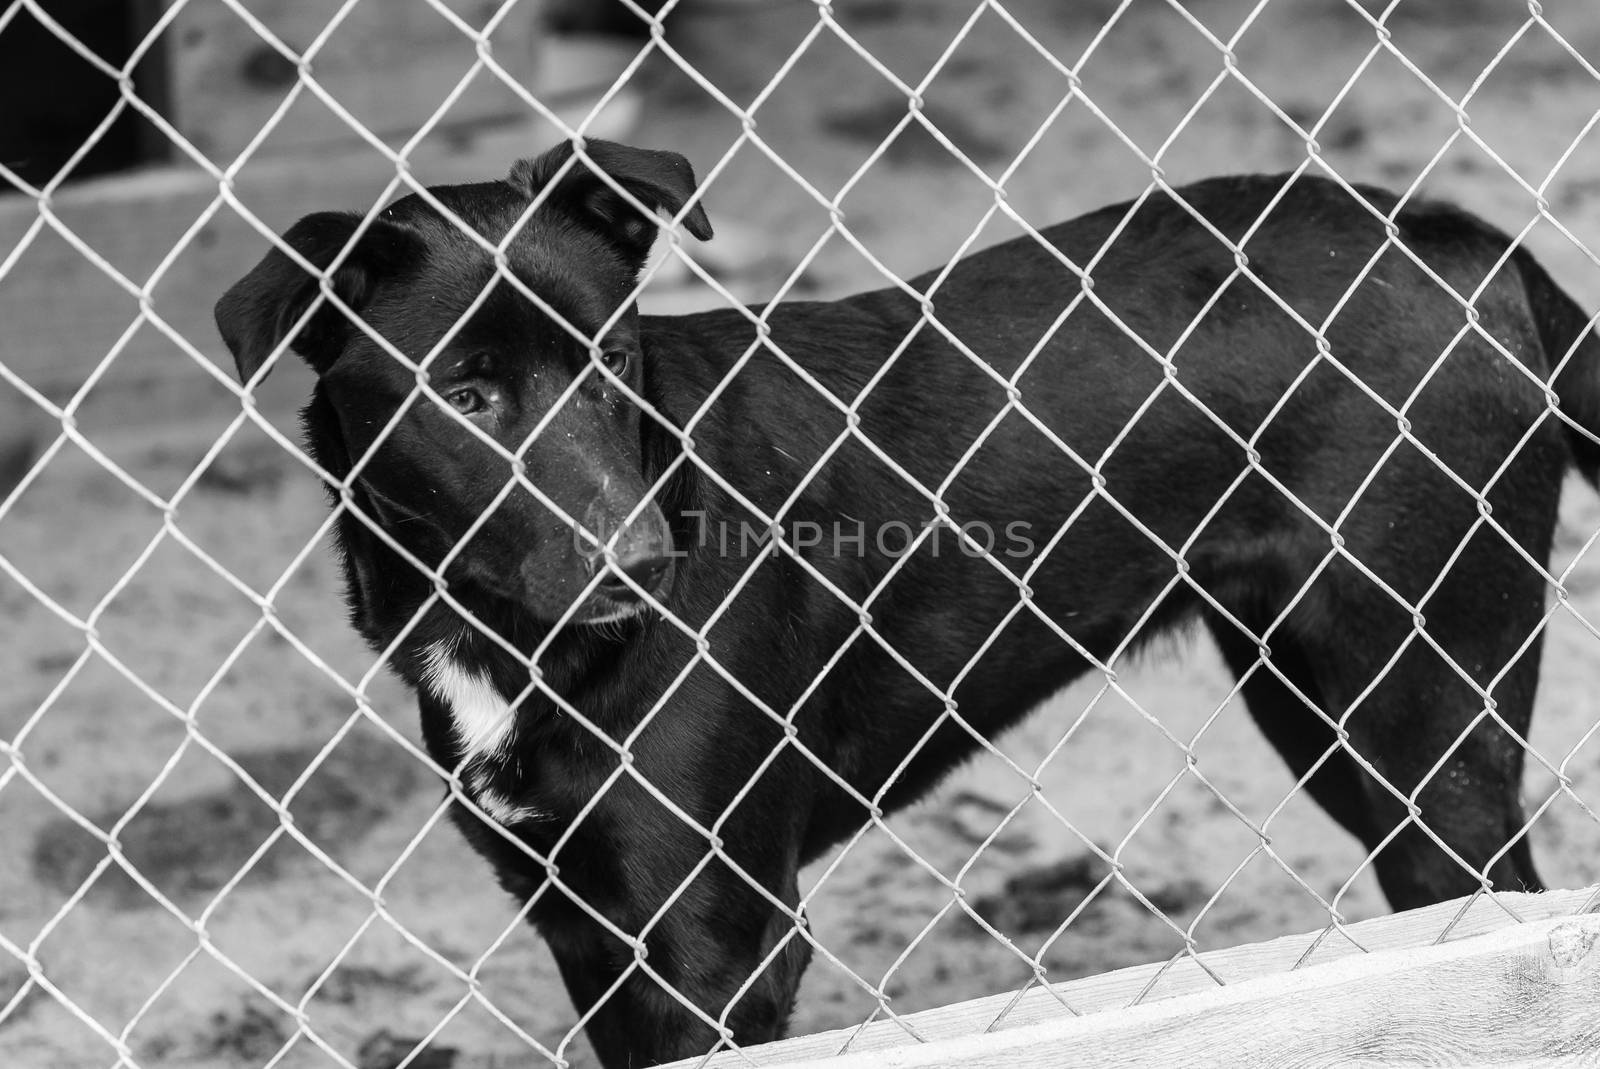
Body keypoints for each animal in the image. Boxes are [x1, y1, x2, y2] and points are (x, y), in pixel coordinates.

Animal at [216, 140, 1600, 1062]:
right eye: (462, 394)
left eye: (610, 360)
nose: (642, 563)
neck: (510, 638)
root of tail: (1474, 242)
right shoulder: (585, 930)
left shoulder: (711, 938)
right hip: (1320, 708)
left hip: (1425, 706)